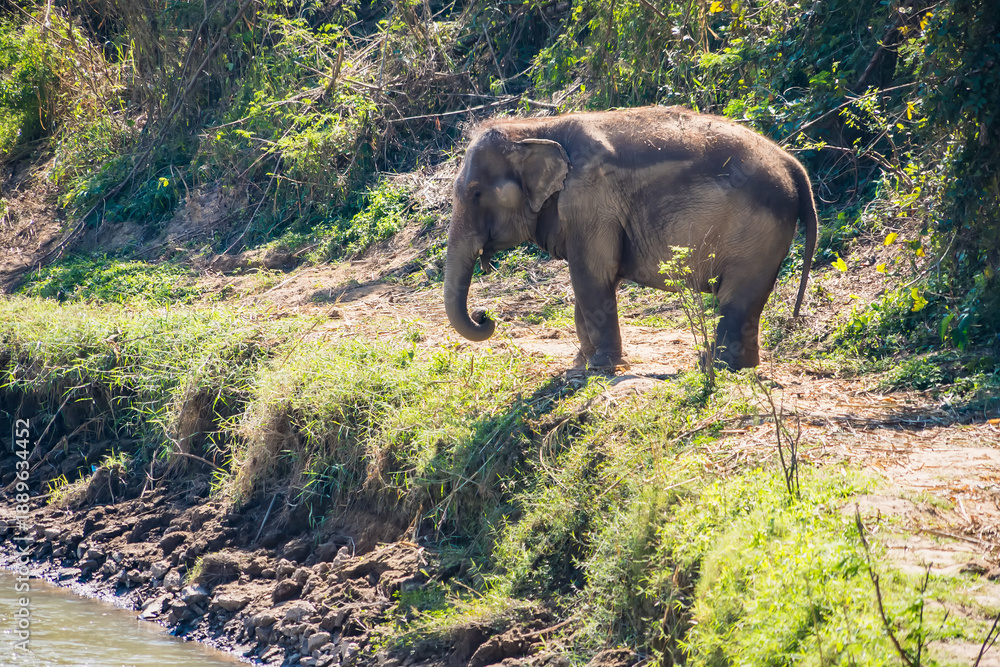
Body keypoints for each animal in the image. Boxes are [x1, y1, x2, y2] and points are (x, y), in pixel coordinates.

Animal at [443, 106, 818, 370]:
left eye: (476, 194)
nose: (484, 315)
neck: (533, 128)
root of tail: (793, 165)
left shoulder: (590, 200)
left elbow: (593, 274)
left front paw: (601, 366)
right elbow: (594, 280)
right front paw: (581, 364)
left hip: (752, 235)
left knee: (736, 298)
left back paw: (719, 367)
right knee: (747, 301)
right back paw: (726, 365)